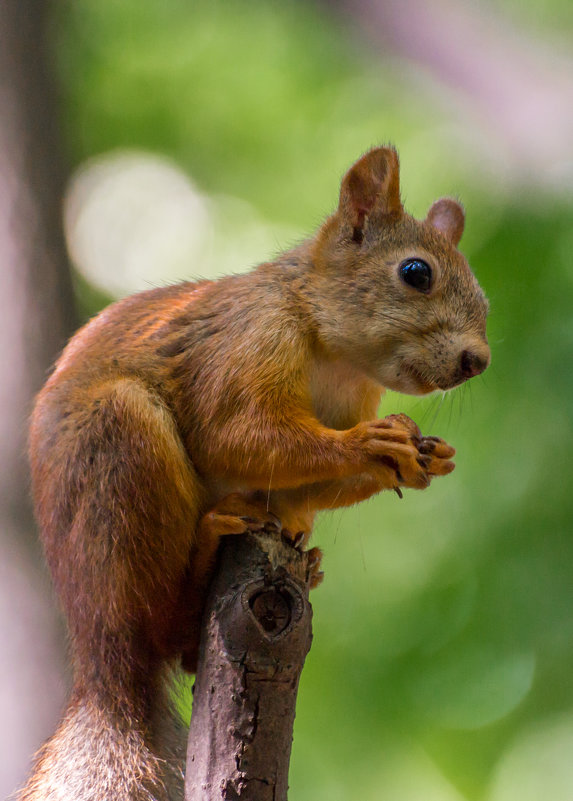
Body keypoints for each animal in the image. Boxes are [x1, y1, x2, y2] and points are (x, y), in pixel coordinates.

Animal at [21, 145, 488, 800]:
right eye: (416, 272)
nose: (478, 361)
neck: (334, 355)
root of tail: (97, 660)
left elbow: (307, 482)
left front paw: (428, 458)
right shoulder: (250, 338)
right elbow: (239, 434)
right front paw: (371, 444)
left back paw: (304, 559)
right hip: (121, 454)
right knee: (160, 628)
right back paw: (207, 550)